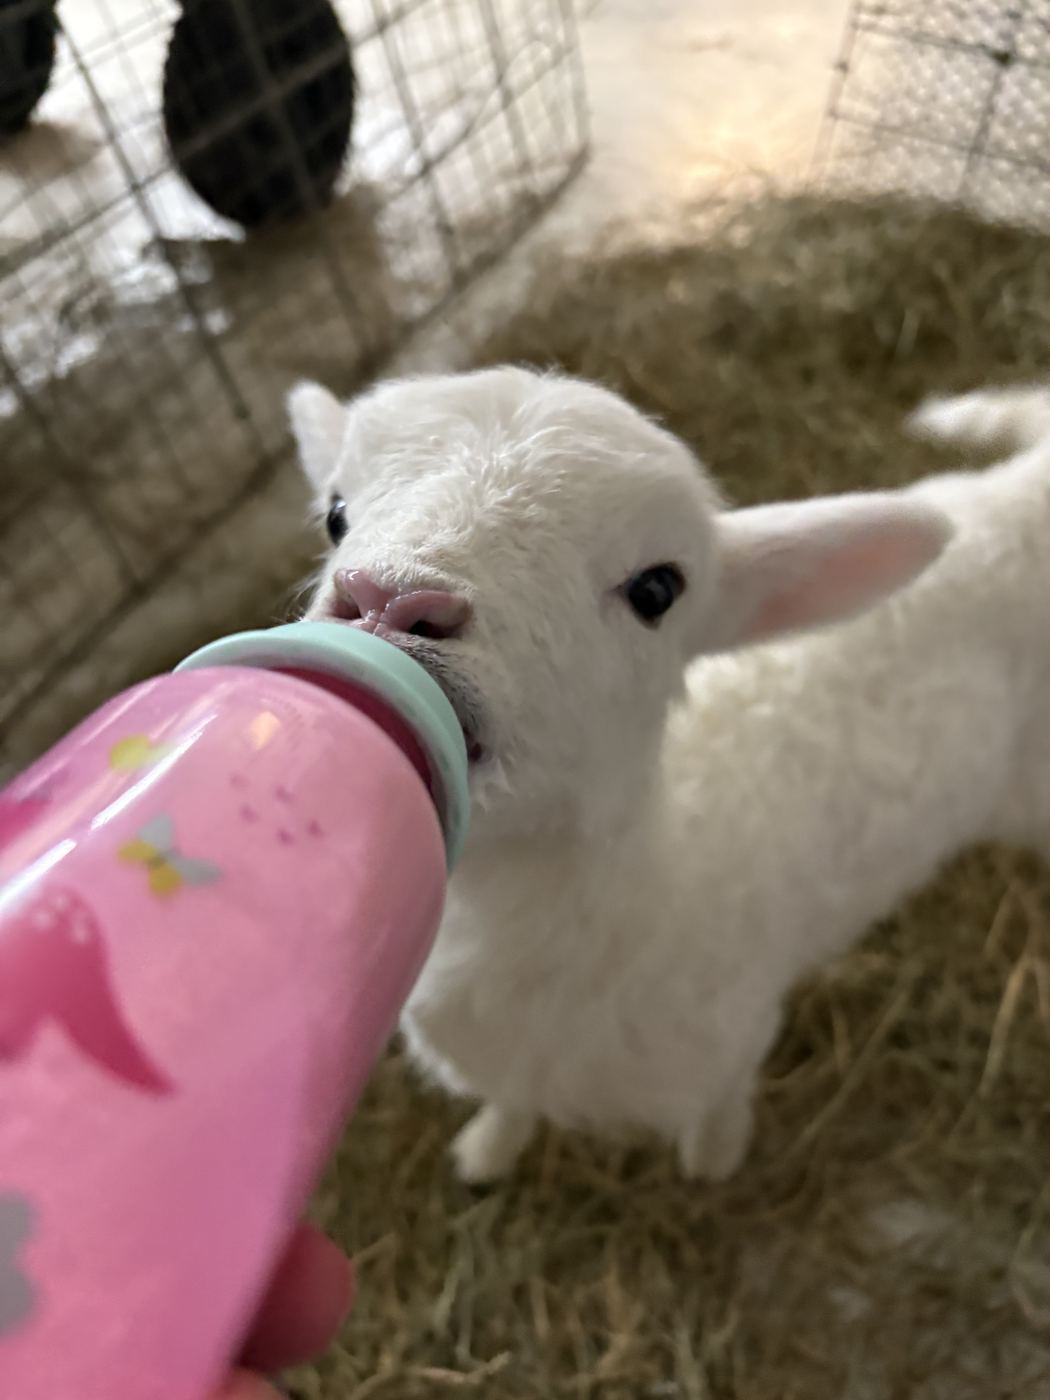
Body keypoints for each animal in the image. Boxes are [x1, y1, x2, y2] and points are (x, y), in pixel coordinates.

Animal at [288, 368, 1049, 1185]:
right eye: (335, 515)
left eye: (657, 589)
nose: (392, 599)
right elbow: (510, 1106)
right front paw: (489, 1148)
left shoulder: (734, 1041)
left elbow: (720, 1109)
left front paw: (714, 1158)